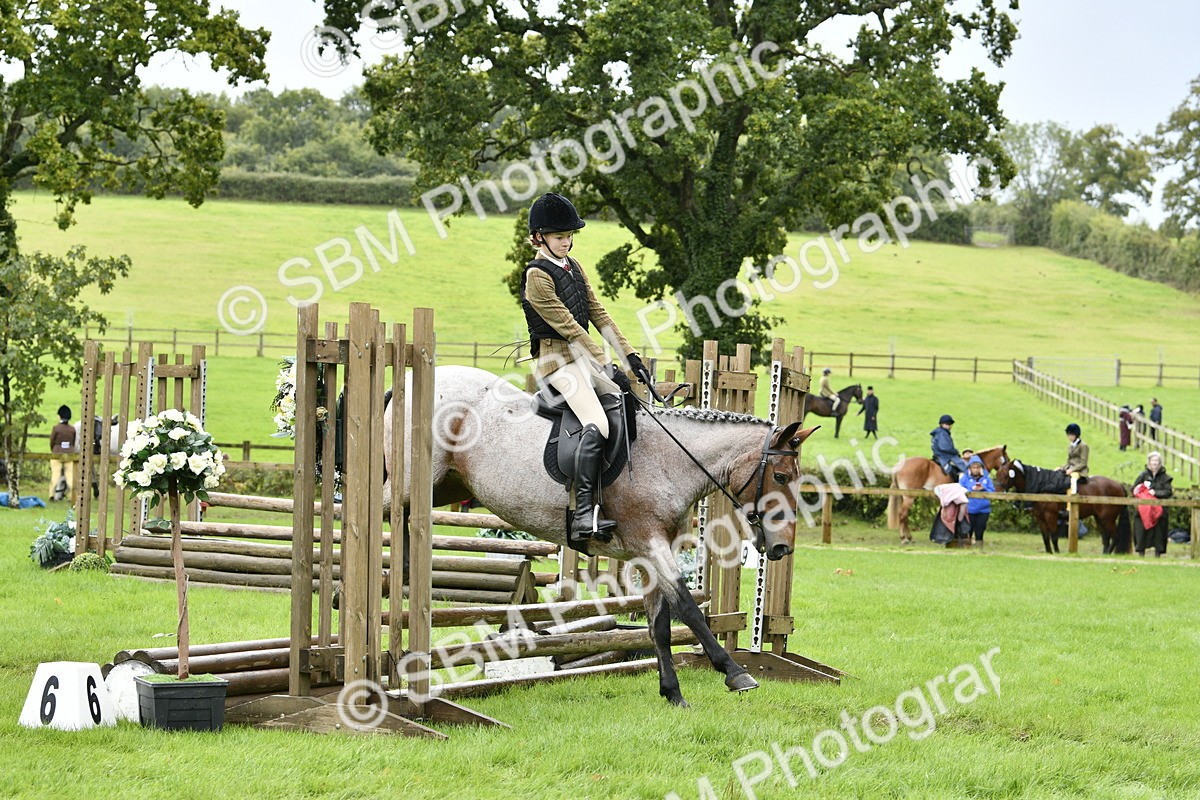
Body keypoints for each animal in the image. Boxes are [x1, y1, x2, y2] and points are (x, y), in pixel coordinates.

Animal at [383, 365, 817, 707]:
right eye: (781, 477)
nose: (782, 547)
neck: (669, 460)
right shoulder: (651, 544)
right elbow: (689, 609)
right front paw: (735, 673)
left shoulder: (647, 555)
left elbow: (659, 624)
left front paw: (672, 693)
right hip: (413, 481)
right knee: (383, 507)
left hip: (448, 486)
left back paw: (403, 572)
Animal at [993, 459, 1131, 555]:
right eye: (998, 473)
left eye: (1006, 474)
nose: (997, 491)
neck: (1042, 485)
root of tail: (1119, 485)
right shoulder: (1040, 518)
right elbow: (1045, 537)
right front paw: (1049, 553)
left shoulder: (1051, 516)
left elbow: (1054, 536)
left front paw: (1057, 553)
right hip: (1099, 518)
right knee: (1106, 537)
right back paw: (1104, 554)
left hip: (1107, 519)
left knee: (1115, 536)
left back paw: (1107, 553)